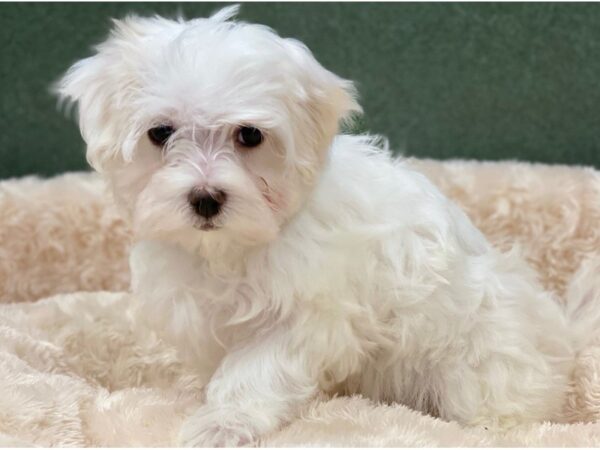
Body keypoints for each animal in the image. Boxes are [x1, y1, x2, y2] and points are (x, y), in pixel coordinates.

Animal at [57, 6, 600, 446]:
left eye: (249, 135)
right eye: (160, 132)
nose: (206, 198)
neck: (232, 248)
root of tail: (563, 340)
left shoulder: (305, 315)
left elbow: (253, 373)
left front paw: (223, 424)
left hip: (480, 361)